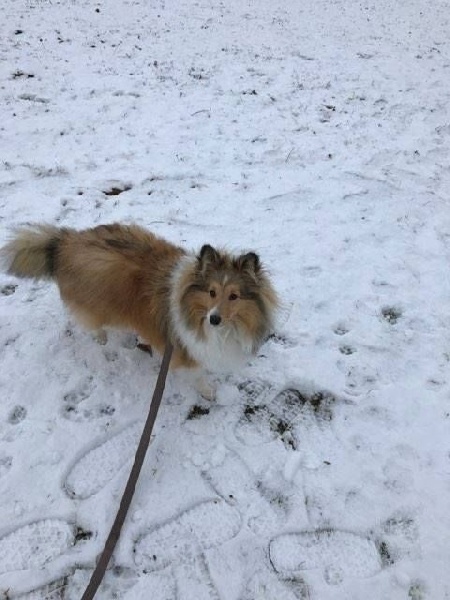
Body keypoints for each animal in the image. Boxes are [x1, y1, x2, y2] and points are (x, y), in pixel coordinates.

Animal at [1, 224, 280, 398]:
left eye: (234, 296)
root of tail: (65, 243)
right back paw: (101, 338)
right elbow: (198, 374)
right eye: (211, 292)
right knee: (91, 323)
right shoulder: (184, 348)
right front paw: (208, 391)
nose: (214, 319)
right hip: (96, 305)